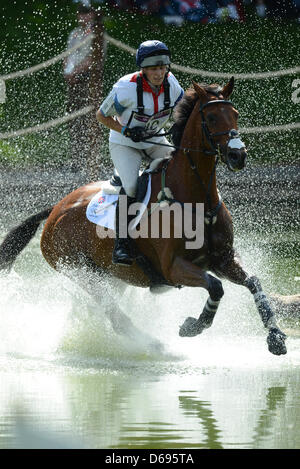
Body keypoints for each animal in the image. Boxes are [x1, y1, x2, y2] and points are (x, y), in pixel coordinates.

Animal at [0, 77, 288, 354]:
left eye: (235, 114)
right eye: (212, 117)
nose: (238, 155)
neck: (196, 199)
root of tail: (55, 211)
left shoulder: (223, 258)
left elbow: (253, 282)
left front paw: (275, 338)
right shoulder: (173, 268)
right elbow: (216, 286)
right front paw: (193, 326)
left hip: (113, 275)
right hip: (81, 272)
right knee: (112, 314)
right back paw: (150, 343)